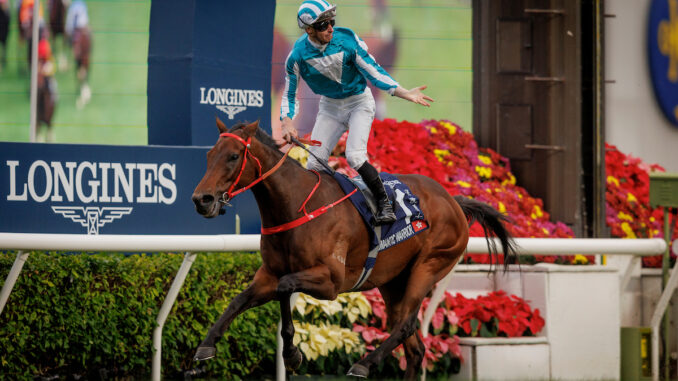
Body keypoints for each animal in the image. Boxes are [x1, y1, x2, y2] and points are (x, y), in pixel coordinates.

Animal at [193, 119, 520, 378]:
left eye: (233, 156)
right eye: (209, 155)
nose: (201, 200)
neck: (295, 207)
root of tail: (453, 200)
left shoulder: (331, 281)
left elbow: (286, 286)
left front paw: (292, 354)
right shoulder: (267, 276)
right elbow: (238, 301)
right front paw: (205, 349)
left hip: (430, 265)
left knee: (406, 325)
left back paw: (364, 364)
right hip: (394, 282)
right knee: (413, 347)